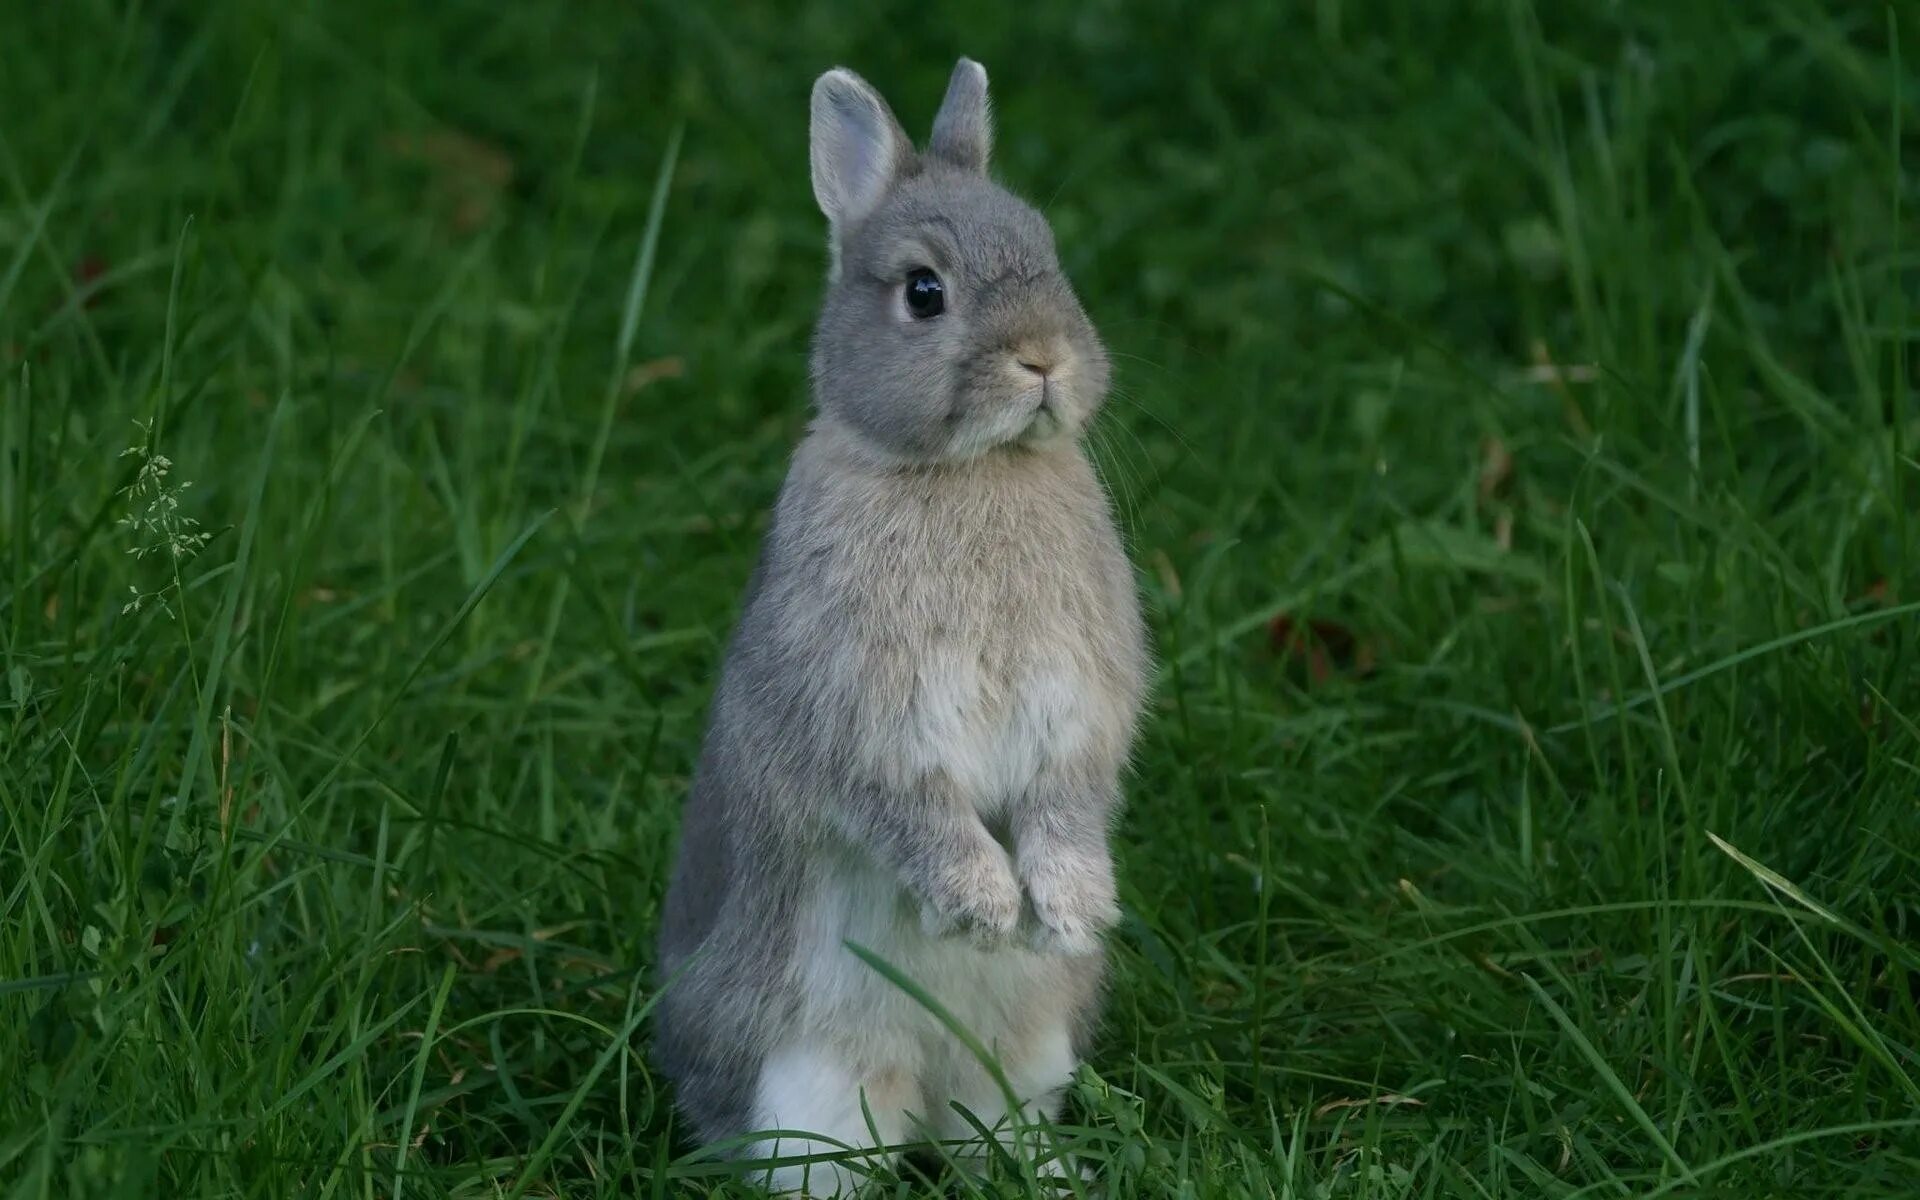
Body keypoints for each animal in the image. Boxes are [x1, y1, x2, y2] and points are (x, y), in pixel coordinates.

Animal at [652, 58, 1144, 1198]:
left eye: (1048, 252)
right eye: (925, 292)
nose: (1044, 360)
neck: (971, 472)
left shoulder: (1078, 710)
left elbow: (1066, 799)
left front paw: (1068, 907)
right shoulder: (861, 718)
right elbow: (912, 808)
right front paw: (985, 905)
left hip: (1025, 1055)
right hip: (812, 1084)